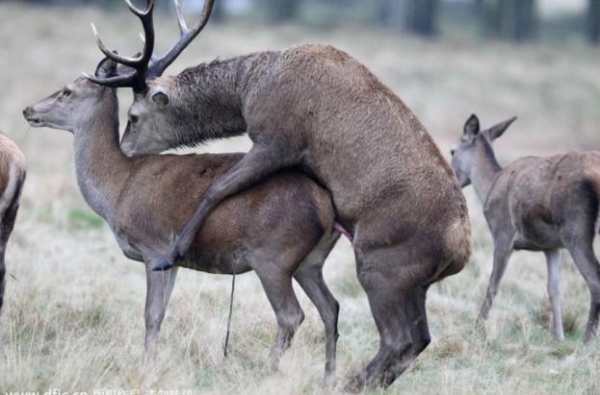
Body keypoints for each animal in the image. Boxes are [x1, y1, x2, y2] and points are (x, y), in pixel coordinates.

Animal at [23, 58, 342, 380]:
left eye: (67, 91)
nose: (28, 110)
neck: (118, 188)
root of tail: (325, 205)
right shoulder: (172, 262)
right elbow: (161, 312)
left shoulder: (155, 249)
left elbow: (151, 314)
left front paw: (146, 368)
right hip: (309, 261)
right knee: (330, 307)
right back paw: (328, 376)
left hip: (273, 256)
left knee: (291, 315)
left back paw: (265, 368)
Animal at [88, 0, 474, 390]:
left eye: (134, 116)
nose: (124, 152)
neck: (248, 89)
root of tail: (461, 250)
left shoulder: (277, 139)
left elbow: (217, 188)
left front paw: (174, 252)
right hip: (416, 282)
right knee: (420, 338)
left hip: (380, 266)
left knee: (397, 339)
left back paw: (344, 384)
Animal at [450, 114, 600, 344]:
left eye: (452, 151)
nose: (453, 179)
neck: (489, 186)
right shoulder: (553, 246)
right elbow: (554, 289)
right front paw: (559, 338)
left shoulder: (502, 234)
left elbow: (493, 283)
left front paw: (477, 328)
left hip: (577, 230)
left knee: (595, 280)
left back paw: (587, 341)